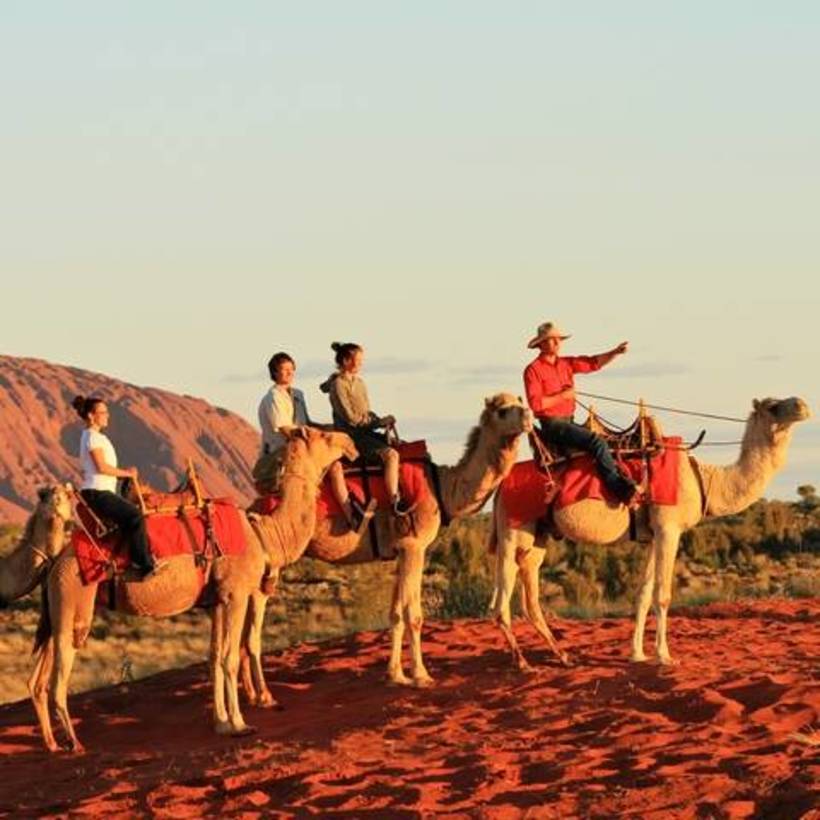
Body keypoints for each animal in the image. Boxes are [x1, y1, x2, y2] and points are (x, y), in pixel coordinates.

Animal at [28, 426, 356, 752]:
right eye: (322, 435)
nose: (349, 443)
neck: (263, 535)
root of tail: (55, 562)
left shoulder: (218, 599)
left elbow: (214, 657)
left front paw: (221, 723)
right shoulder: (236, 594)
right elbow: (229, 658)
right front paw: (240, 723)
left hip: (57, 610)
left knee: (38, 678)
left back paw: (52, 743)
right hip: (74, 601)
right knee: (58, 678)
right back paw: (74, 743)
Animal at [239, 390, 532, 704]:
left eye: (519, 400)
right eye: (503, 410)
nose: (528, 416)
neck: (442, 487)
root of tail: (254, 506)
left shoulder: (400, 550)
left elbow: (395, 614)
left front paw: (396, 675)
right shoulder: (415, 545)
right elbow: (414, 615)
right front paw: (421, 676)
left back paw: (250, 693)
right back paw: (261, 695)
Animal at [490, 398, 812, 672]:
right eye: (773, 406)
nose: (803, 405)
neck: (703, 479)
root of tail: (500, 486)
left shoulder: (653, 535)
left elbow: (643, 594)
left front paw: (637, 654)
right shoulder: (669, 528)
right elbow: (663, 595)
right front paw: (664, 656)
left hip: (538, 536)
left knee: (529, 592)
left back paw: (563, 656)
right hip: (513, 528)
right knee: (500, 600)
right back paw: (522, 663)